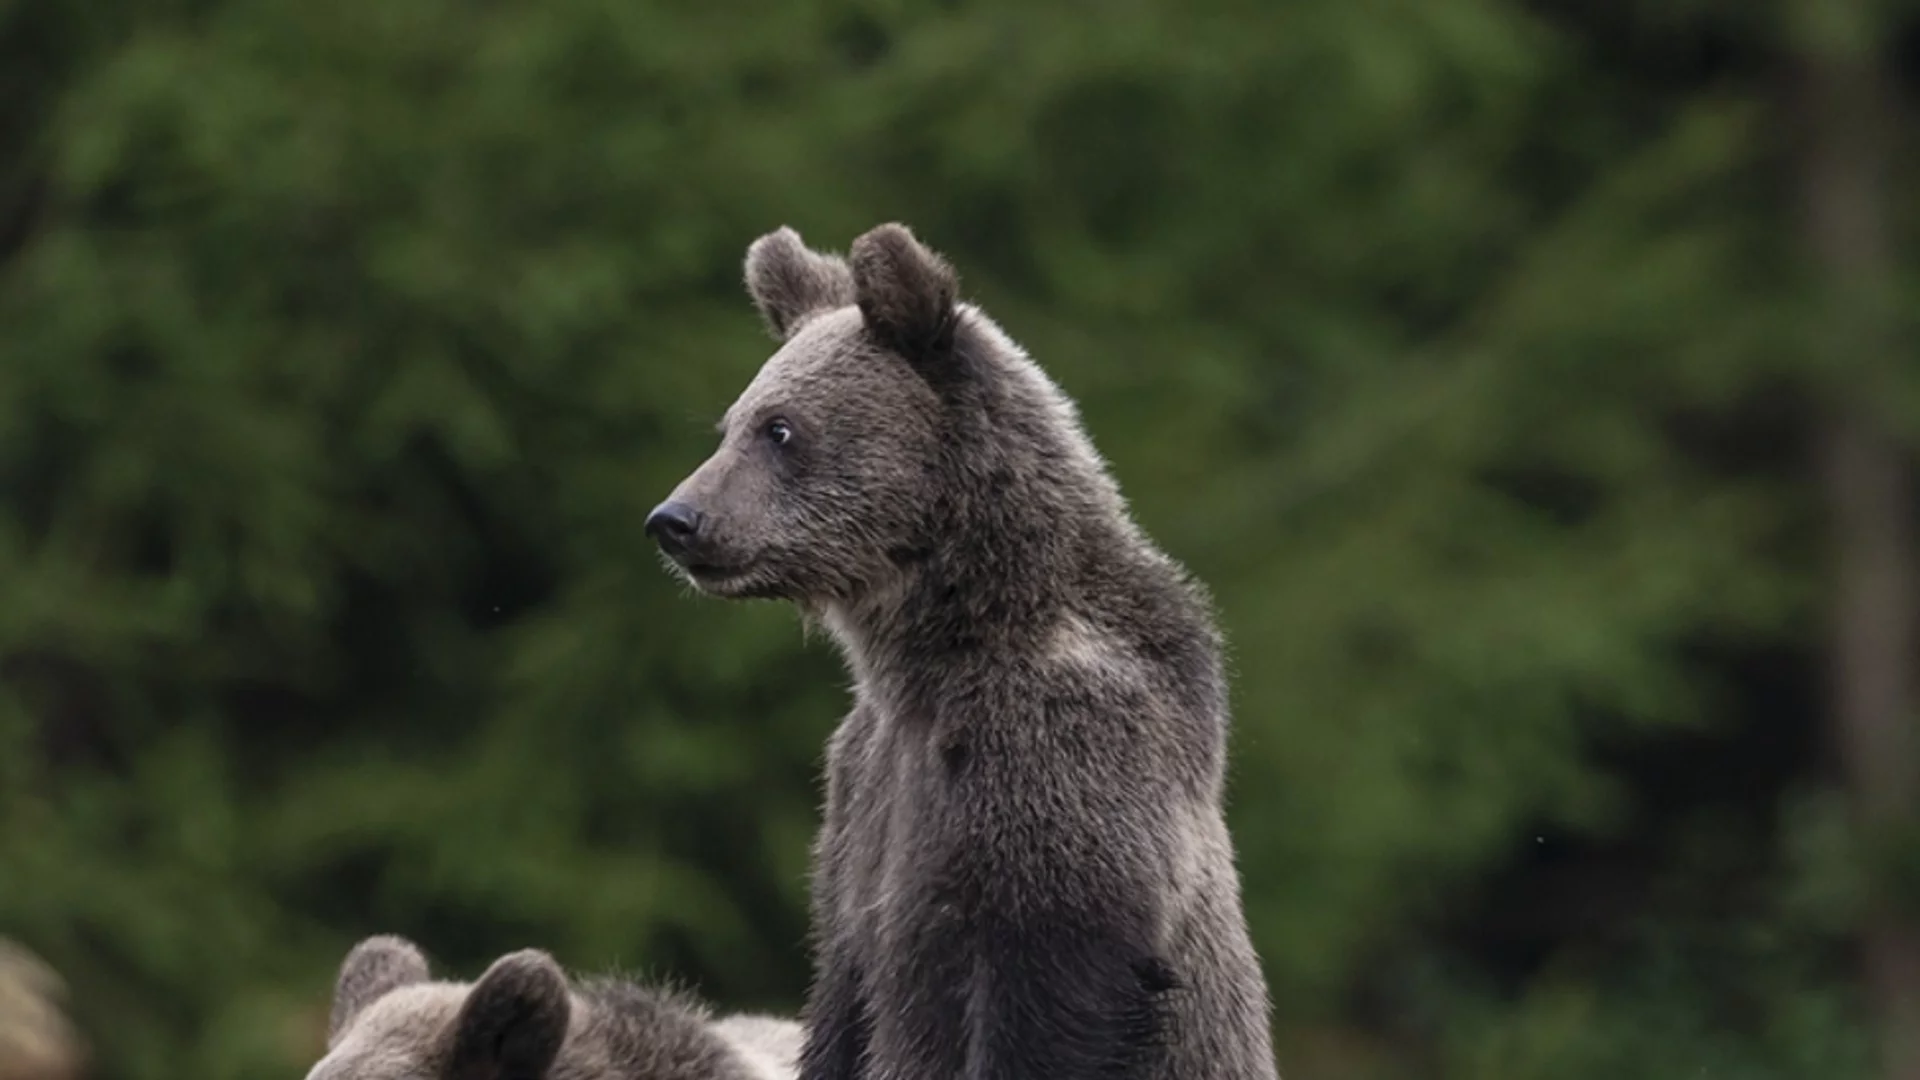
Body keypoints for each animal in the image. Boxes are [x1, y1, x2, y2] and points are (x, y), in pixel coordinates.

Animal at [645, 220, 1274, 1076]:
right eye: (730, 426)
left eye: (780, 428)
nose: (676, 519)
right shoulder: (863, 788)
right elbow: (844, 982)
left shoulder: (1059, 755)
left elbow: (1046, 980)